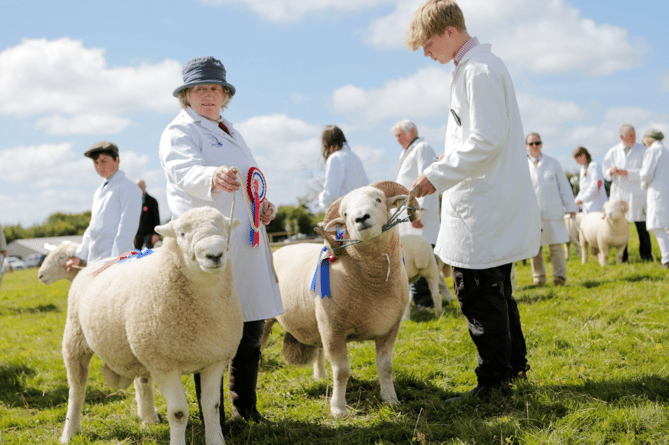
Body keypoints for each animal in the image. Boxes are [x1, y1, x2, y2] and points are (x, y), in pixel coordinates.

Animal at [260, 180, 418, 416]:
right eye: (344, 213)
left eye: (378, 200)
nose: (360, 218)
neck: (373, 283)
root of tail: (281, 249)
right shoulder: (333, 331)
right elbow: (342, 371)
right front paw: (338, 409)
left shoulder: (389, 329)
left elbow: (386, 367)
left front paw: (390, 399)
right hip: (267, 321)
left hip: (316, 321)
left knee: (317, 351)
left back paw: (320, 377)